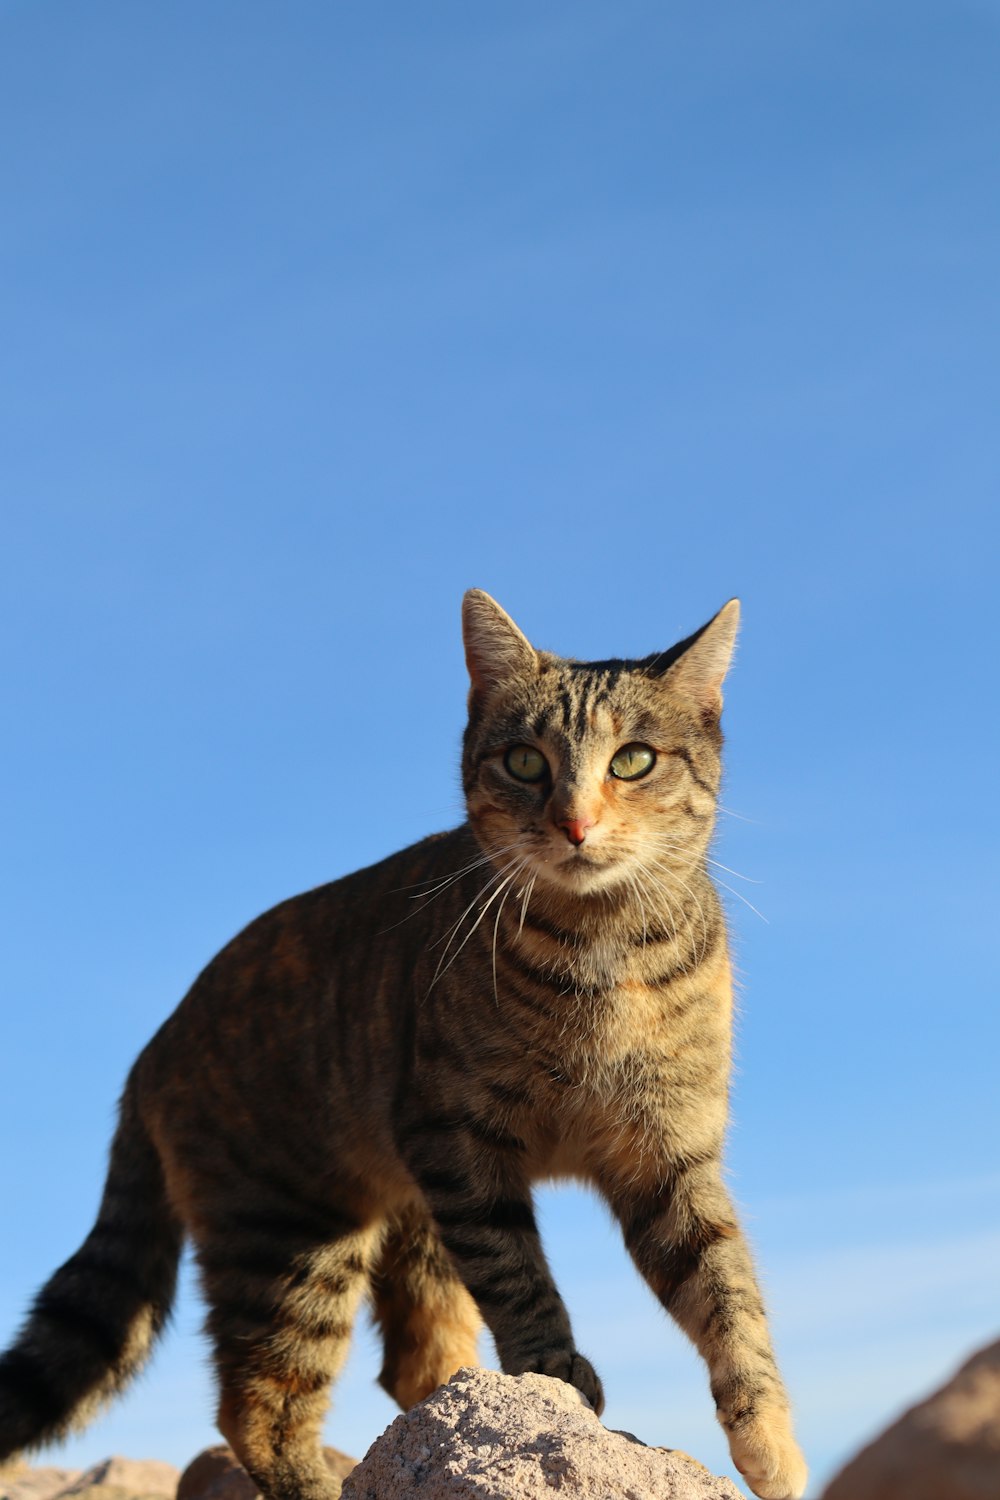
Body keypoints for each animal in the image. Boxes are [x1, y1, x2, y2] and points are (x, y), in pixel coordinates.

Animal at [0, 588, 809, 1500]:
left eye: (633, 761)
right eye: (524, 762)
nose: (574, 822)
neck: (604, 952)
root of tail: (149, 1053)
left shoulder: (668, 1150)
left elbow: (729, 1293)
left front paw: (769, 1439)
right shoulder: (455, 1142)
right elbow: (522, 1280)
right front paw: (554, 1371)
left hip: (401, 1234)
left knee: (413, 1365)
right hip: (292, 1241)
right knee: (260, 1410)